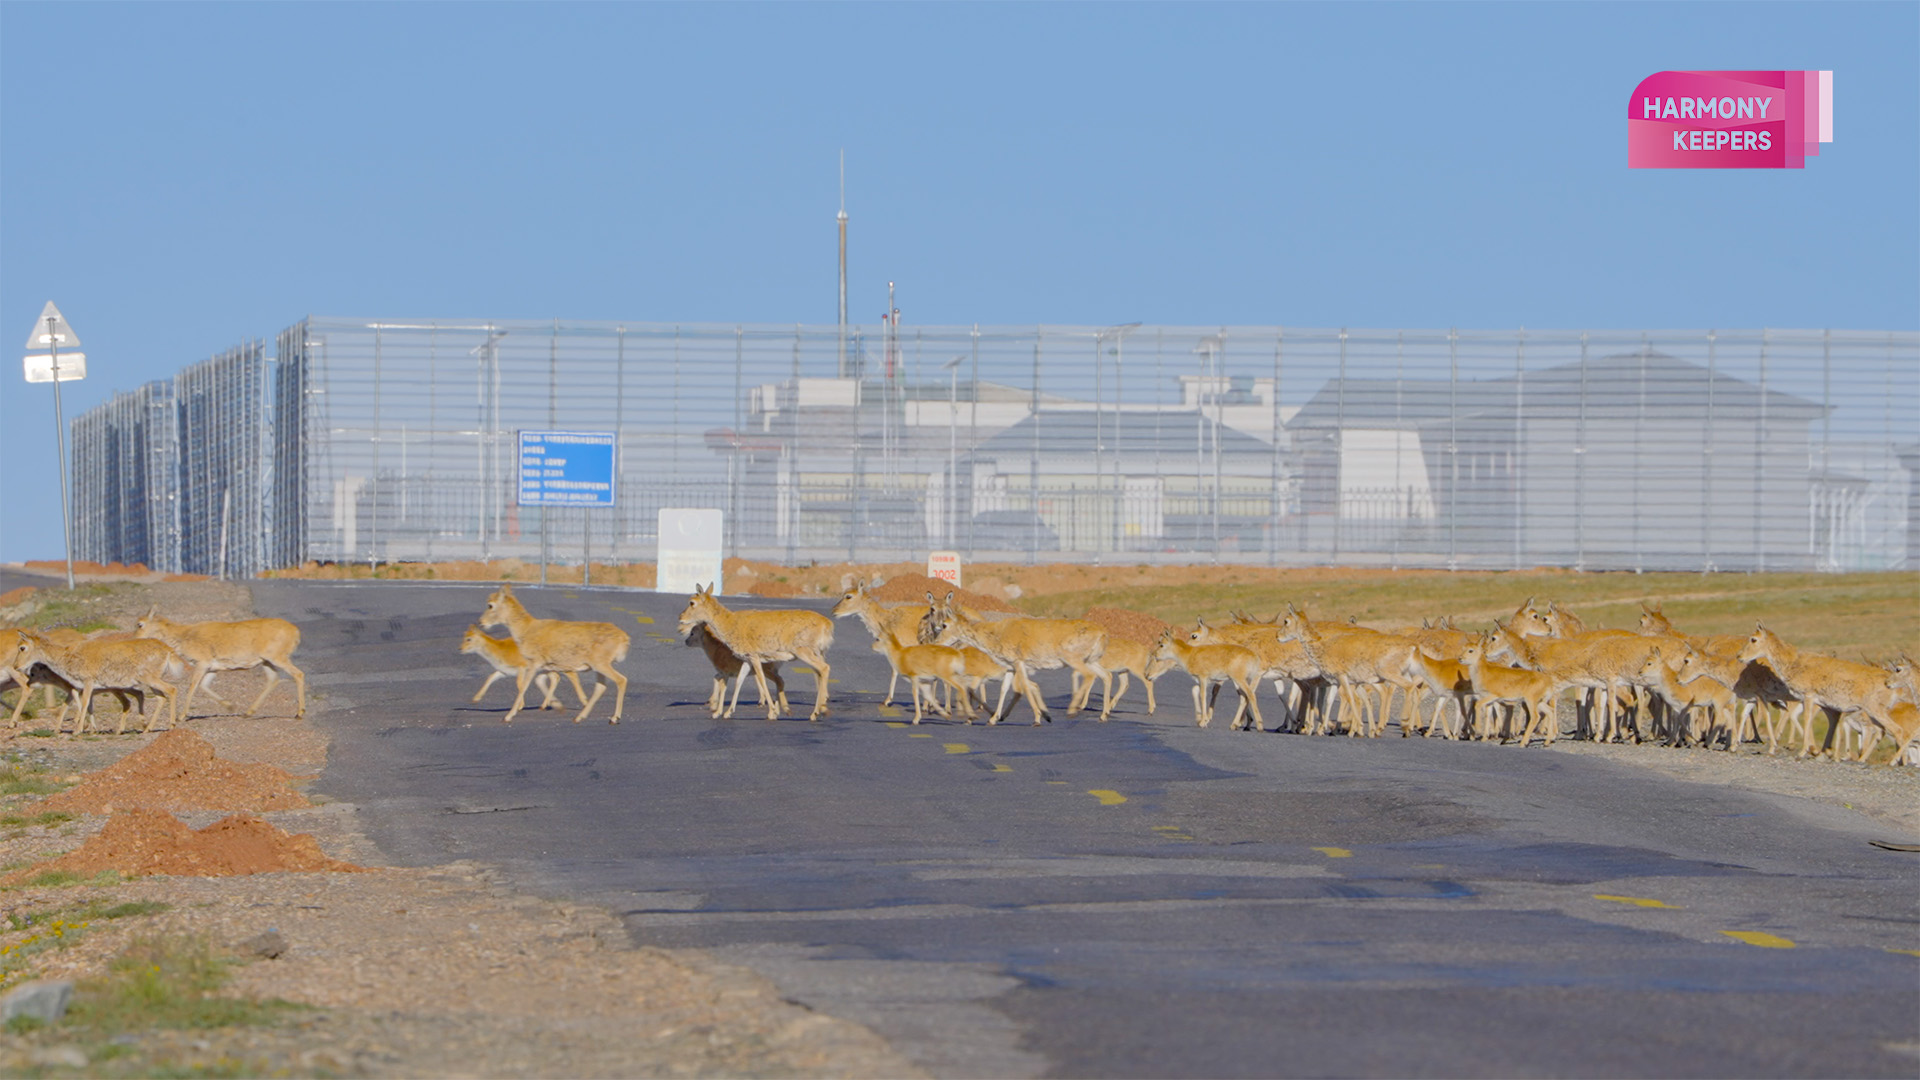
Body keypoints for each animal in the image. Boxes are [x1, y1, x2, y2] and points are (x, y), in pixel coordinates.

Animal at [133, 599, 305, 718]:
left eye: (140, 624)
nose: (135, 638)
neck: (184, 635)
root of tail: (296, 632)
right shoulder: (212, 667)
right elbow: (204, 686)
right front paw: (230, 706)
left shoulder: (202, 663)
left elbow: (192, 686)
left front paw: (181, 716)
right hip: (267, 661)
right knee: (273, 679)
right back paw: (248, 712)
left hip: (277, 658)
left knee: (298, 674)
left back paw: (299, 712)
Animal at [480, 580, 629, 722]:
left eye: (490, 605)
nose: (481, 622)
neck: (526, 629)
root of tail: (625, 638)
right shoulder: (546, 666)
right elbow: (540, 681)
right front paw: (556, 705)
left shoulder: (534, 663)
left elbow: (524, 686)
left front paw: (508, 716)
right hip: (598, 666)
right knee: (601, 687)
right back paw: (579, 717)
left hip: (601, 664)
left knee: (621, 680)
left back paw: (614, 718)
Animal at [675, 580, 833, 714]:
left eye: (692, 602)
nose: (680, 618)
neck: (730, 623)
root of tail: (827, 624)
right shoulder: (747, 660)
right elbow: (740, 680)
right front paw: (727, 712)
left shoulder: (755, 657)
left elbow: (761, 679)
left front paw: (772, 712)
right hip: (817, 653)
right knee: (819, 673)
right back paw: (819, 708)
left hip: (804, 652)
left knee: (823, 669)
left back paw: (817, 711)